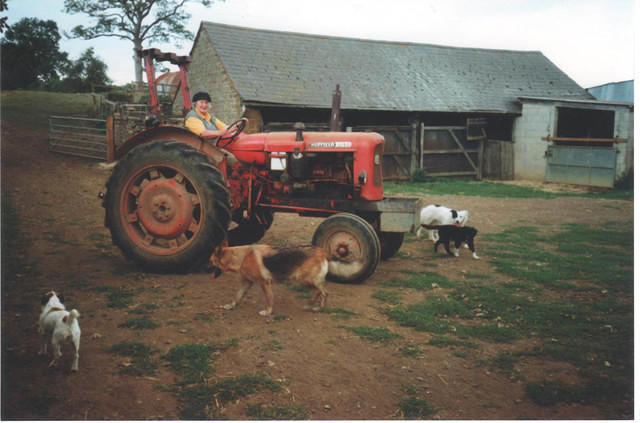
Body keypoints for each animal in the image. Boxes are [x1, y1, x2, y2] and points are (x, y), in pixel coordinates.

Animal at [212, 243, 358, 316]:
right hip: (309, 280)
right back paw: (312, 306)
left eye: (210, 261)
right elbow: (237, 296)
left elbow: (269, 299)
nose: (205, 267)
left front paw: (268, 312)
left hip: (304, 279)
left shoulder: (265, 283)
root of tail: (322, 251)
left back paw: (316, 307)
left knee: (323, 292)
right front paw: (231, 306)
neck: (241, 256)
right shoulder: (246, 283)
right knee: (320, 292)